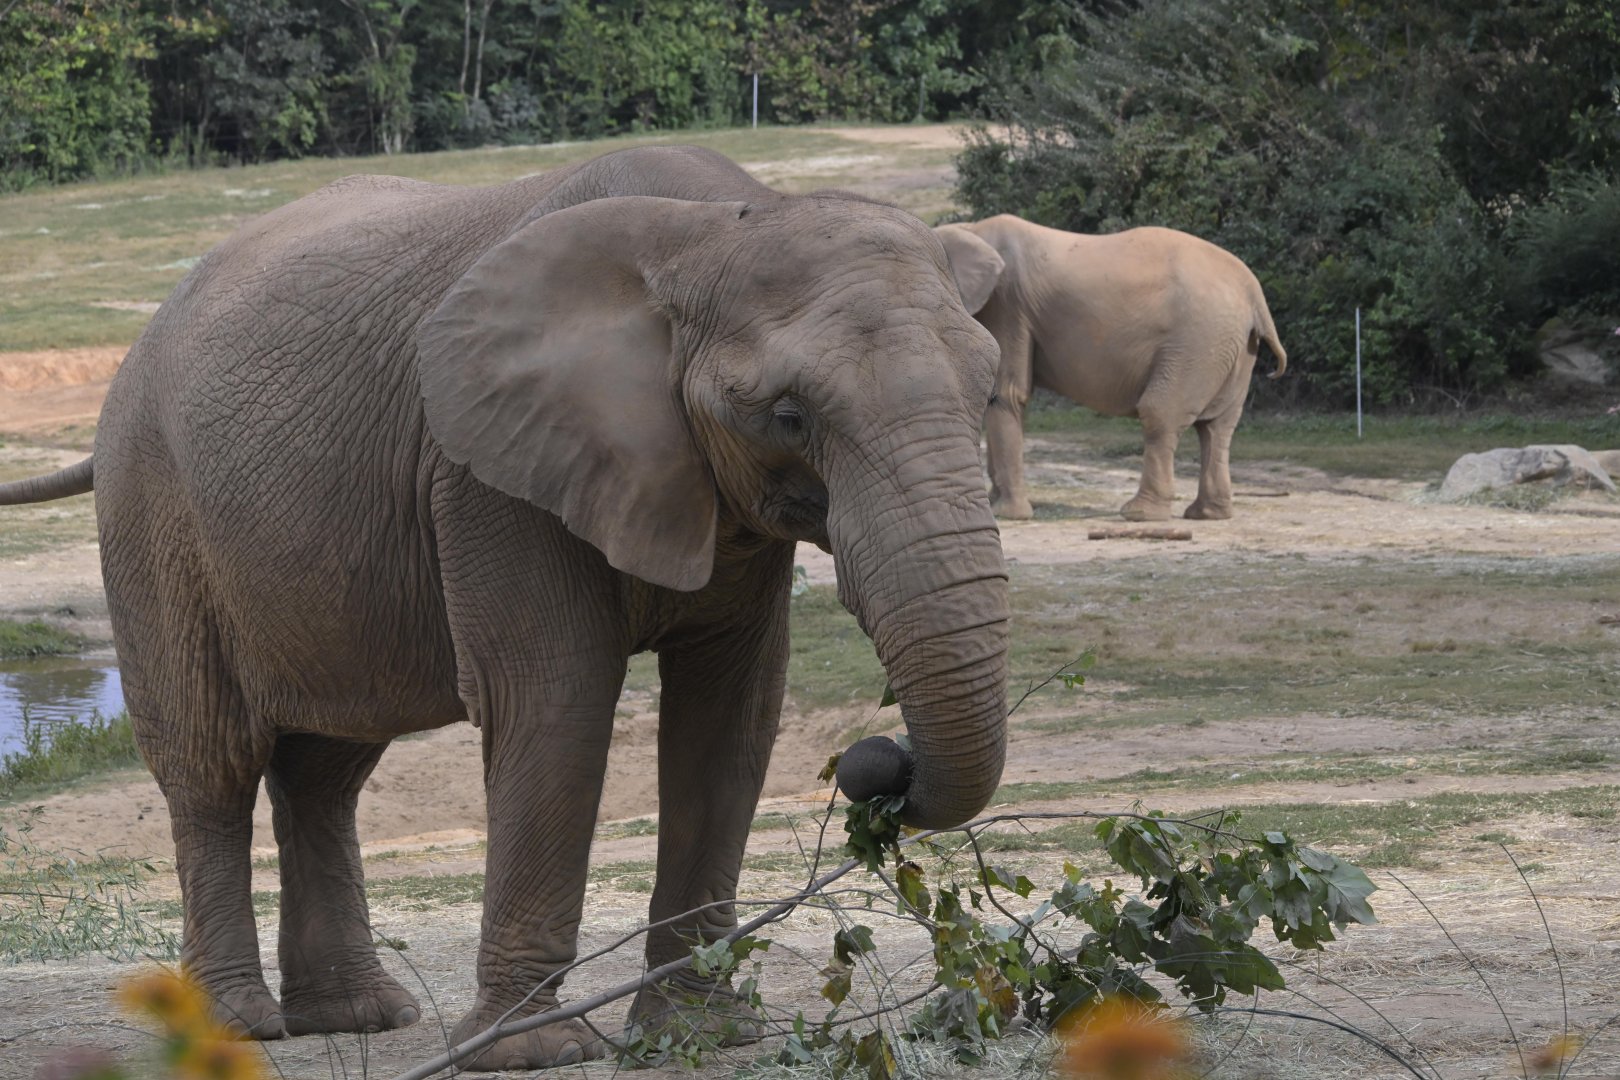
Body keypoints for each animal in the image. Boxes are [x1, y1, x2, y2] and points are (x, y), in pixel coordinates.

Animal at [0, 146, 1011, 1070]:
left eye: (989, 386)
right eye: (790, 415)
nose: (879, 766)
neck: (714, 227)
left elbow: (730, 716)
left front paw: (701, 1036)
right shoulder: (487, 475)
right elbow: (555, 700)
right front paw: (535, 1051)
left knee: (326, 766)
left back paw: (360, 1017)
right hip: (153, 508)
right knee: (211, 763)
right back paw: (240, 1028)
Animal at [934, 215, 1286, 521]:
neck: (970, 228)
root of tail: (1255, 295)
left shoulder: (1007, 306)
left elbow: (1007, 394)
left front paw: (1006, 513)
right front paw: (997, 505)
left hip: (1197, 342)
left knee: (1161, 414)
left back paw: (1139, 514)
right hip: (1232, 348)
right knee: (1217, 427)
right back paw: (1208, 515)